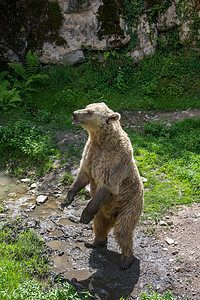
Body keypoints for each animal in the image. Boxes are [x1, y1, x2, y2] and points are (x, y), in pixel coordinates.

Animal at [61, 103, 144, 270]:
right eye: (86, 106)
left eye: (89, 111)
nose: (74, 113)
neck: (101, 140)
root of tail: (113, 215)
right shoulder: (90, 153)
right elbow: (83, 175)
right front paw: (67, 199)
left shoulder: (114, 161)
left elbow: (107, 185)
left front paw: (84, 216)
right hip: (103, 210)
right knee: (99, 224)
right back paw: (94, 242)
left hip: (130, 204)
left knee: (123, 230)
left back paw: (126, 260)